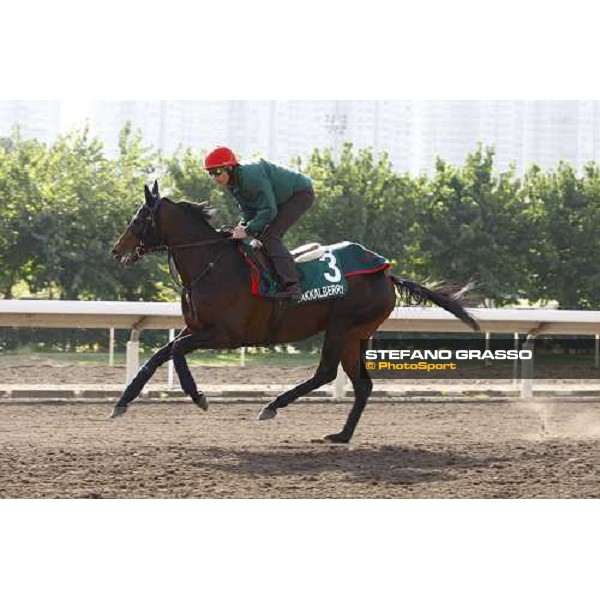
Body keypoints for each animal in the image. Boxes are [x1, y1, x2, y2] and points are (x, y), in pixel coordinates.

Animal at [110, 180, 480, 442]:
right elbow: (159, 355)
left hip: (342, 326)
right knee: (362, 385)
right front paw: (121, 403)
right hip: (357, 335)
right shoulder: (197, 328)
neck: (212, 264)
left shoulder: (226, 335)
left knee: (326, 373)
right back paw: (341, 435)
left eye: (139, 218)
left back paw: (272, 406)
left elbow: (175, 351)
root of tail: (386, 273)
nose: (116, 250)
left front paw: (198, 396)